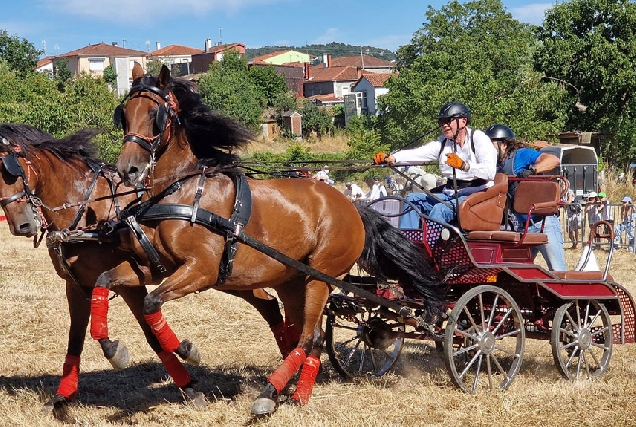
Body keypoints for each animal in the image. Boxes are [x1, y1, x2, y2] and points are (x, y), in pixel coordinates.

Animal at [0, 124, 296, 418]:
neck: (86, 209)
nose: (21, 225)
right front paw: (61, 398)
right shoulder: (76, 286)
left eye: (10, 170)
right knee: (269, 305)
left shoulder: (131, 285)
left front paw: (188, 385)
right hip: (230, 276)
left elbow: (152, 336)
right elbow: (75, 340)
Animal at [104, 64, 442, 418]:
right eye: (124, 114)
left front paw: (187, 348)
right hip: (293, 281)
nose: (128, 169)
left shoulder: (201, 270)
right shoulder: (157, 266)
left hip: (321, 278)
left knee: (309, 336)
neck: (183, 191)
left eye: (155, 114)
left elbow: (151, 302)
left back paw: (269, 392)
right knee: (309, 335)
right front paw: (113, 348)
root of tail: (351, 206)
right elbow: (107, 280)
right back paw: (298, 393)